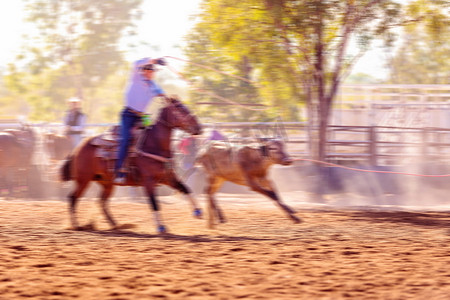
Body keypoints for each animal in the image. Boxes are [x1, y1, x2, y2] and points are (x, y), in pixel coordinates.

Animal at [60, 98, 201, 232]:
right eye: (180, 109)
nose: (199, 127)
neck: (153, 144)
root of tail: (77, 148)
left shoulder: (168, 178)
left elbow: (185, 189)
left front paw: (198, 211)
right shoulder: (148, 181)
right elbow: (154, 203)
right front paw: (161, 227)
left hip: (106, 183)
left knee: (101, 202)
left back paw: (116, 225)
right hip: (83, 180)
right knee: (73, 198)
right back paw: (76, 225)